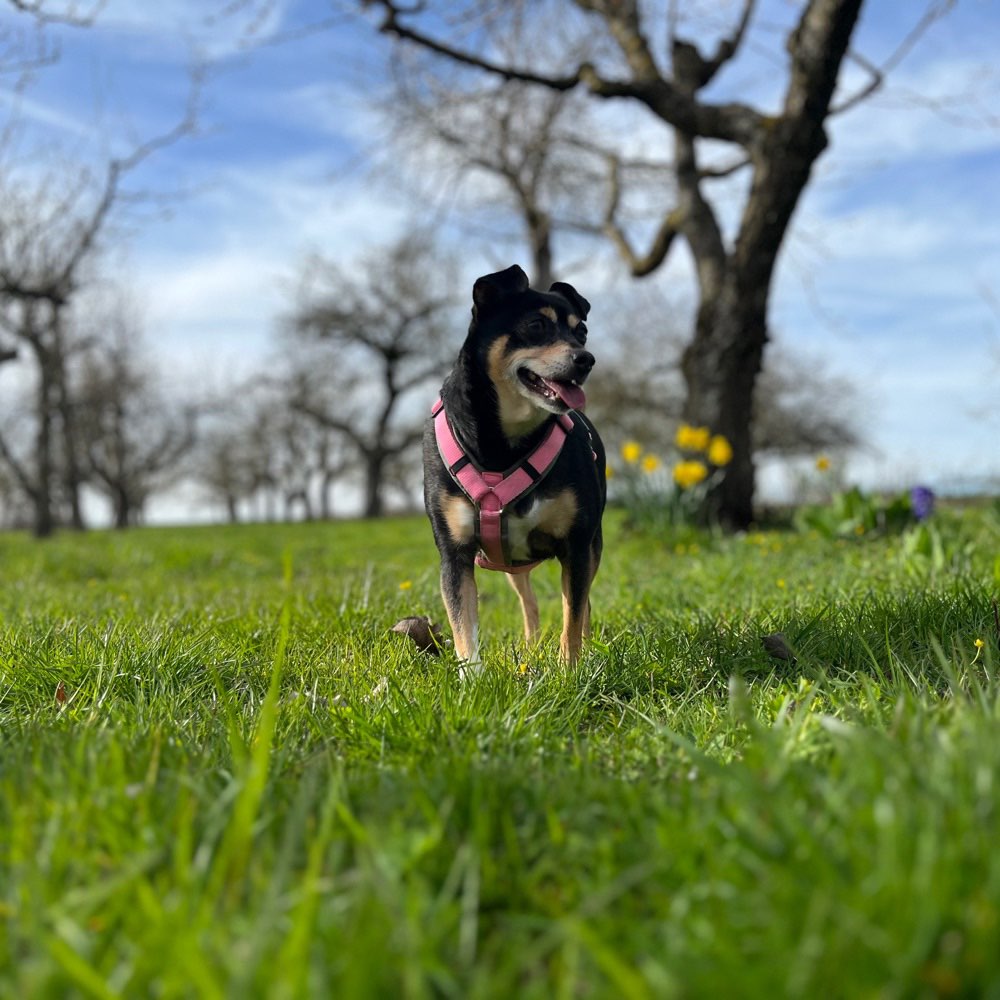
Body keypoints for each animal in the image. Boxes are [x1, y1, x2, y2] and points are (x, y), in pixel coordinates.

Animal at [424, 266, 608, 668]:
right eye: (537, 325)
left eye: (582, 332)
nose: (586, 359)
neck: (503, 445)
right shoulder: (455, 554)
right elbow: (464, 626)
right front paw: (471, 677)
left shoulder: (576, 544)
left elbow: (572, 616)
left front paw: (571, 670)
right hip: (511, 563)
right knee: (529, 601)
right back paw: (532, 645)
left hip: (593, 544)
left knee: (583, 603)